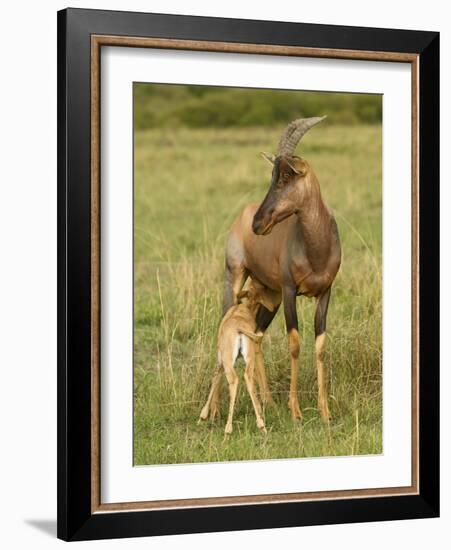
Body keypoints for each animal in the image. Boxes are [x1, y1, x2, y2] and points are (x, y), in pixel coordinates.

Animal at [224, 117, 340, 422]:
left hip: (270, 295)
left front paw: (325, 412)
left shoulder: (325, 292)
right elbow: (295, 343)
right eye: (273, 175)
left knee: (256, 336)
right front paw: (296, 410)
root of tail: (240, 216)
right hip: (235, 278)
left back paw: (267, 402)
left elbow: (320, 345)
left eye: (286, 175)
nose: (258, 223)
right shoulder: (290, 291)